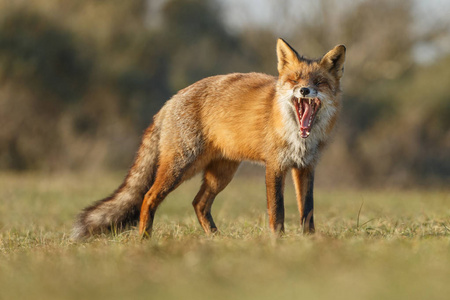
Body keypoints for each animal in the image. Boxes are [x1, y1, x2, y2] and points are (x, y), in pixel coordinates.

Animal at [71, 38, 344, 239]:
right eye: (294, 79)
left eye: (319, 81)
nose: (304, 90)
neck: (299, 137)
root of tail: (170, 101)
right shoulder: (275, 165)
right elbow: (277, 210)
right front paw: (278, 241)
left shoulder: (306, 167)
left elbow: (307, 210)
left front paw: (310, 241)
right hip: (181, 166)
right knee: (148, 198)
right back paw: (145, 241)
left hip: (221, 173)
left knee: (198, 203)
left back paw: (215, 238)